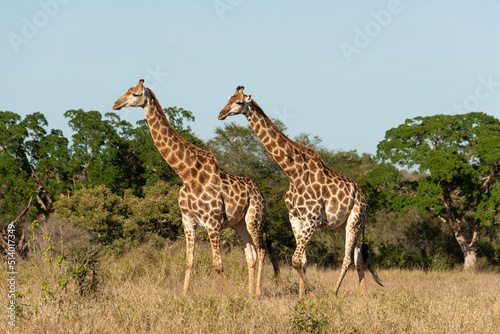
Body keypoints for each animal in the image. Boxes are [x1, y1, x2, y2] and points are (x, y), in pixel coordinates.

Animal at [112, 79, 282, 296]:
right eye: (127, 90)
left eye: (136, 94)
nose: (115, 104)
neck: (186, 173)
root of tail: (260, 192)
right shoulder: (187, 221)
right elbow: (188, 262)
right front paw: (184, 295)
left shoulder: (212, 222)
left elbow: (218, 264)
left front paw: (231, 294)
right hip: (239, 223)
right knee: (250, 254)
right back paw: (250, 293)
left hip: (255, 218)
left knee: (261, 250)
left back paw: (258, 292)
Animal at [219, 86, 382, 298]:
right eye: (228, 98)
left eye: (239, 102)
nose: (221, 114)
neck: (293, 172)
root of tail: (364, 198)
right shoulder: (295, 218)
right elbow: (302, 260)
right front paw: (301, 296)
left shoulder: (312, 219)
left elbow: (295, 259)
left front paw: (312, 293)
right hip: (343, 225)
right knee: (358, 257)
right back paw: (362, 295)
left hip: (355, 220)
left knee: (347, 258)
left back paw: (334, 292)